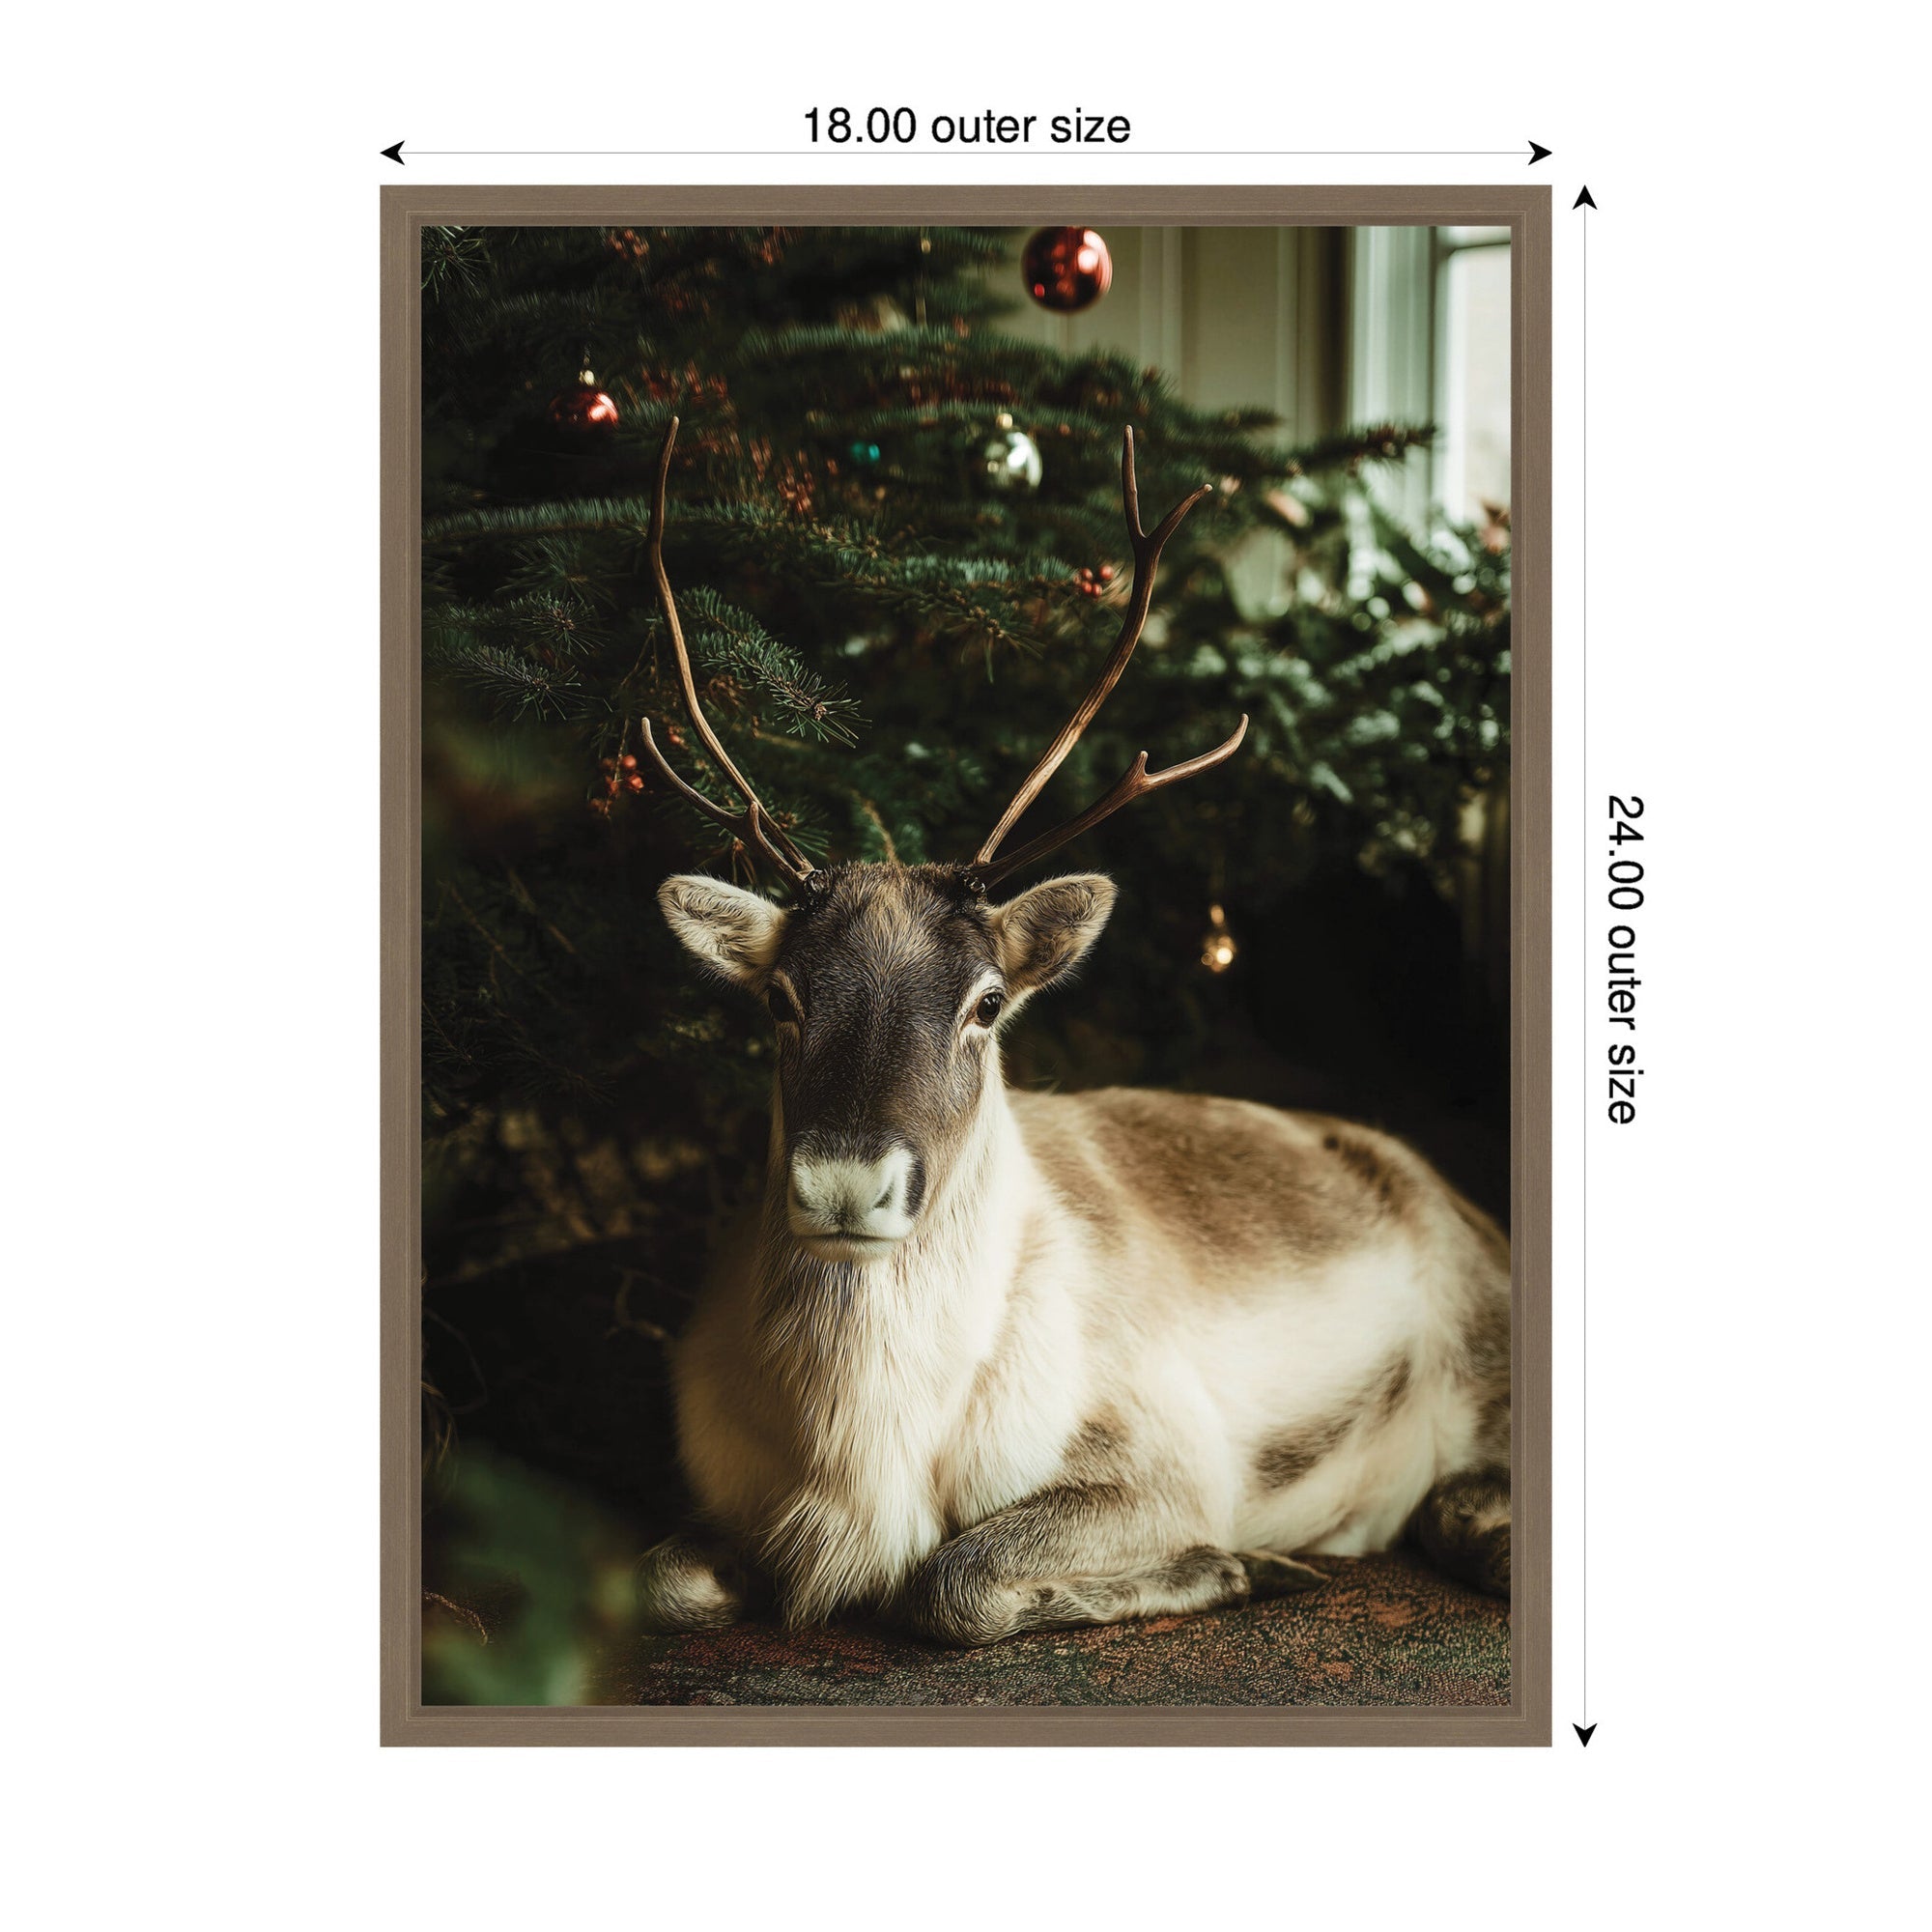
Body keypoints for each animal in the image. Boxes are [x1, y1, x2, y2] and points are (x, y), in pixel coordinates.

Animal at [634, 420, 1511, 1648]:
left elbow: (949, 1579)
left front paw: (1241, 1564)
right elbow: (662, 1580)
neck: (851, 1456)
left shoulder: (1162, 1461)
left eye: (985, 1001)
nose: (844, 1183)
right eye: (779, 998)